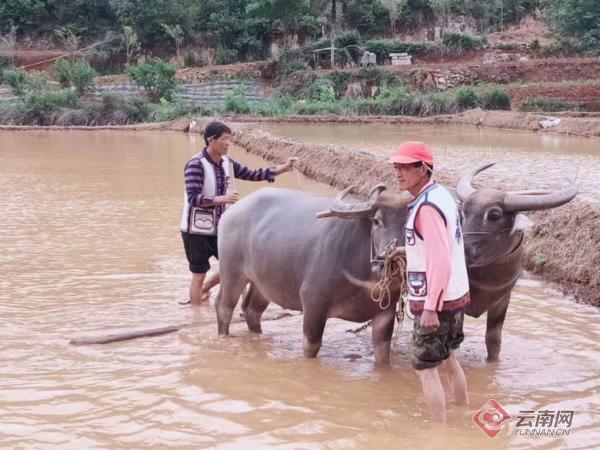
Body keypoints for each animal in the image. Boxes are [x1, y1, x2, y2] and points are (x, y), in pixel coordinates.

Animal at [214, 185, 408, 364]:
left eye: (409, 222)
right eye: (376, 221)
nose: (386, 258)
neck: (365, 282)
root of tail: (233, 210)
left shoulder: (386, 313)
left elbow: (383, 354)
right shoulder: (313, 303)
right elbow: (311, 346)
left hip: (262, 283)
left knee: (252, 310)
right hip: (232, 272)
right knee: (224, 306)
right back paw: (223, 336)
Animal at [458, 164, 580, 362]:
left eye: (494, 215)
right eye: (464, 213)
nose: (461, 250)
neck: (487, 280)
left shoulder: (502, 300)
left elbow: (493, 339)